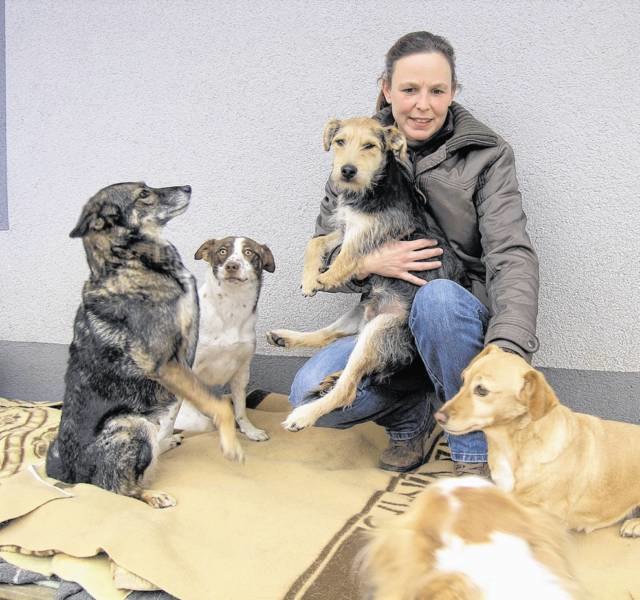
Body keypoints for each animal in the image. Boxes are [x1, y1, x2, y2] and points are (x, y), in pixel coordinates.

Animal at [45, 182, 244, 506]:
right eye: (144, 194)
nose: (188, 187)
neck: (129, 260)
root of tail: (71, 475)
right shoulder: (167, 363)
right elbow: (219, 405)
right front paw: (231, 444)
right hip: (130, 426)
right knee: (116, 488)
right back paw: (152, 494)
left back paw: (167, 443)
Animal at [175, 236, 276, 440]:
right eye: (222, 251)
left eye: (248, 252)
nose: (232, 266)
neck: (231, 308)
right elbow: (203, 421)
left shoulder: (242, 372)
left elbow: (240, 409)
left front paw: (249, 430)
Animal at [268, 118, 468, 432]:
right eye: (339, 142)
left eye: (370, 146)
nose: (347, 171)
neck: (372, 189)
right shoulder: (344, 228)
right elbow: (316, 242)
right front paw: (310, 279)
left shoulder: (365, 235)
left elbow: (344, 259)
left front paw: (325, 278)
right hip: (360, 312)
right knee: (327, 336)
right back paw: (285, 339)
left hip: (380, 330)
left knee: (348, 388)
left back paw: (304, 414)